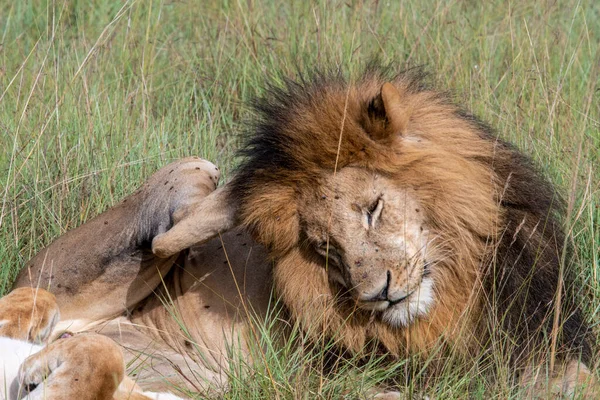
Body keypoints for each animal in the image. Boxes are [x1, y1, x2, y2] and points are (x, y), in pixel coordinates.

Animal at [7, 65, 596, 396]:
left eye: (373, 209)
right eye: (324, 249)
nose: (378, 294)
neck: (464, 284)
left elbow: (581, 377)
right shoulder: (347, 370)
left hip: (192, 376)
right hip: (186, 179)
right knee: (165, 234)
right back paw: (236, 198)